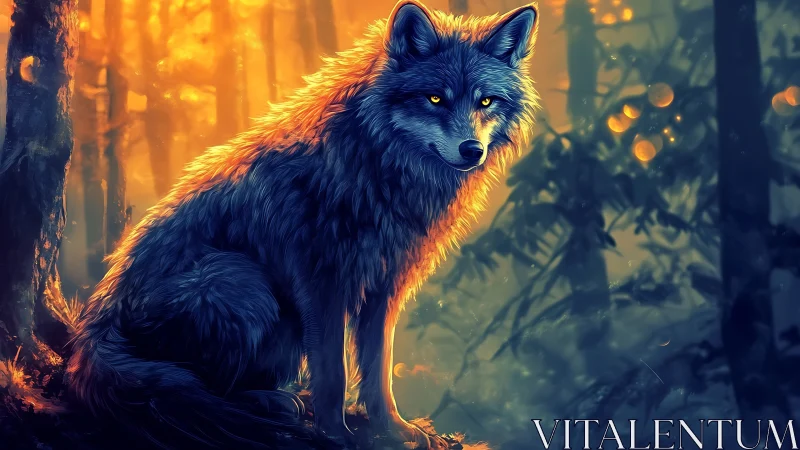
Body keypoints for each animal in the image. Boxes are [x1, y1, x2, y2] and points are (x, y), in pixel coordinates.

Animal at [66, 1, 539, 448]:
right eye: (436, 99)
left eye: (485, 101)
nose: (472, 150)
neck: (374, 168)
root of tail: (94, 327)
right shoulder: (321, 281)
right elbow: (333, 374)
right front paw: (334, 435)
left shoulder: (386, 286)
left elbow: (378, 372)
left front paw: (393, 430)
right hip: (239, 281)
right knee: (201, 386)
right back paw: (271, 403)